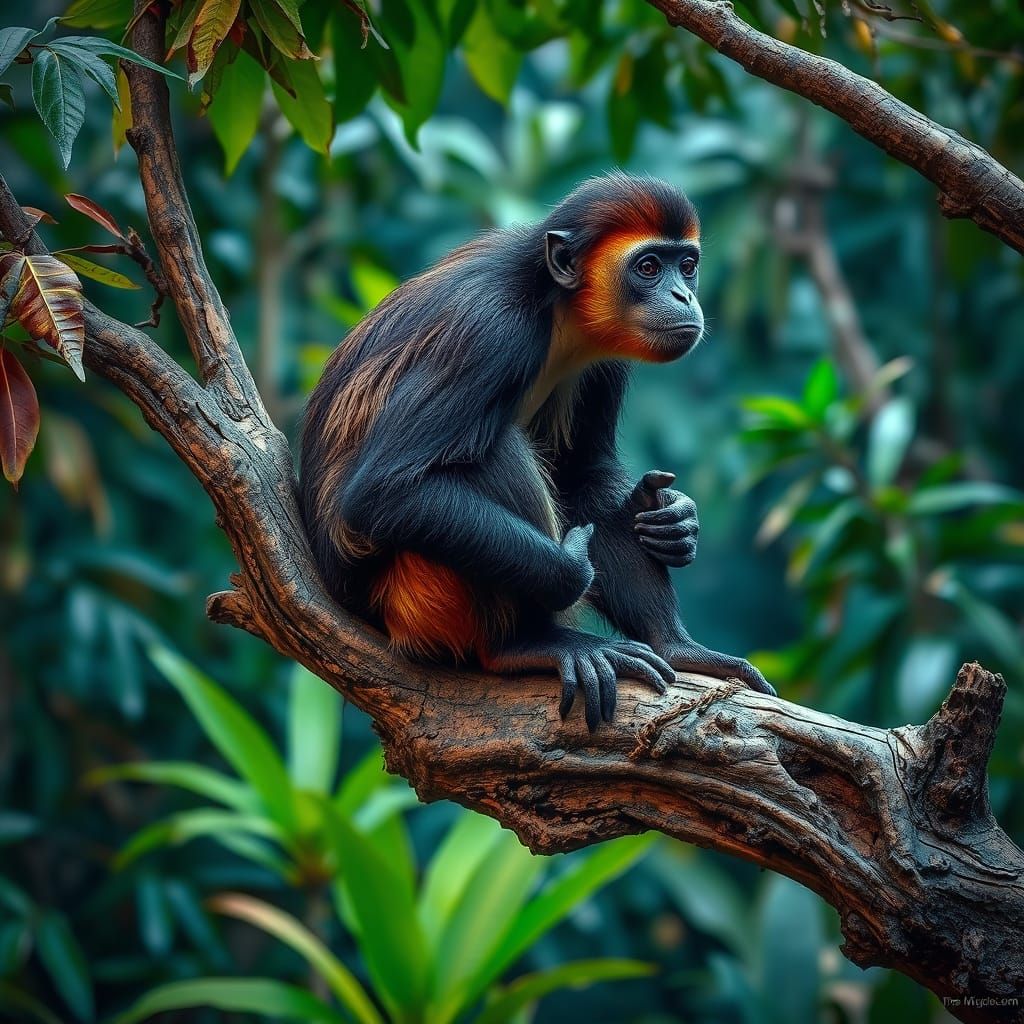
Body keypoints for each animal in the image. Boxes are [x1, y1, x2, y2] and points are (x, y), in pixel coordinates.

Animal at [299, 172, 775, 732]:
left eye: (687, 266)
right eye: (649, 267)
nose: (682, 294)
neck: (553, 306)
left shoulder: (603, 359)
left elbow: (581, 476)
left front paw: (676, 524)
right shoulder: (491, 331)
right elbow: (383, 493)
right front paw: (574, 569)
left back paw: (674, 645)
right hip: (410, 596)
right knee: (490, 452)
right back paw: (524, 644)